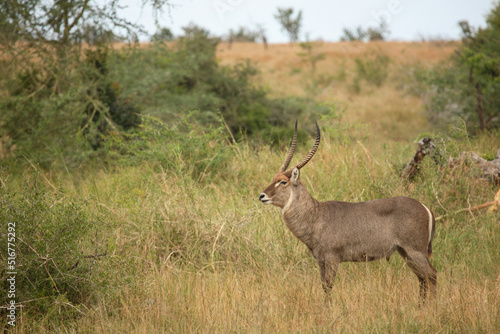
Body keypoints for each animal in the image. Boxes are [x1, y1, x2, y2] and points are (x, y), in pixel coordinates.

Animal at [260, 120, 436, 300]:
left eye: (283, 182)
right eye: (273, 178)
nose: (262, 195)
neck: (316, 216)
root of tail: (425, 208)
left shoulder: (332, 258)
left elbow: (328, 287)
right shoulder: (321, 261)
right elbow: (324, 286)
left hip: (415, 250)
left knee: (431, 275)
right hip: (405, 251)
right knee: (422, 279)